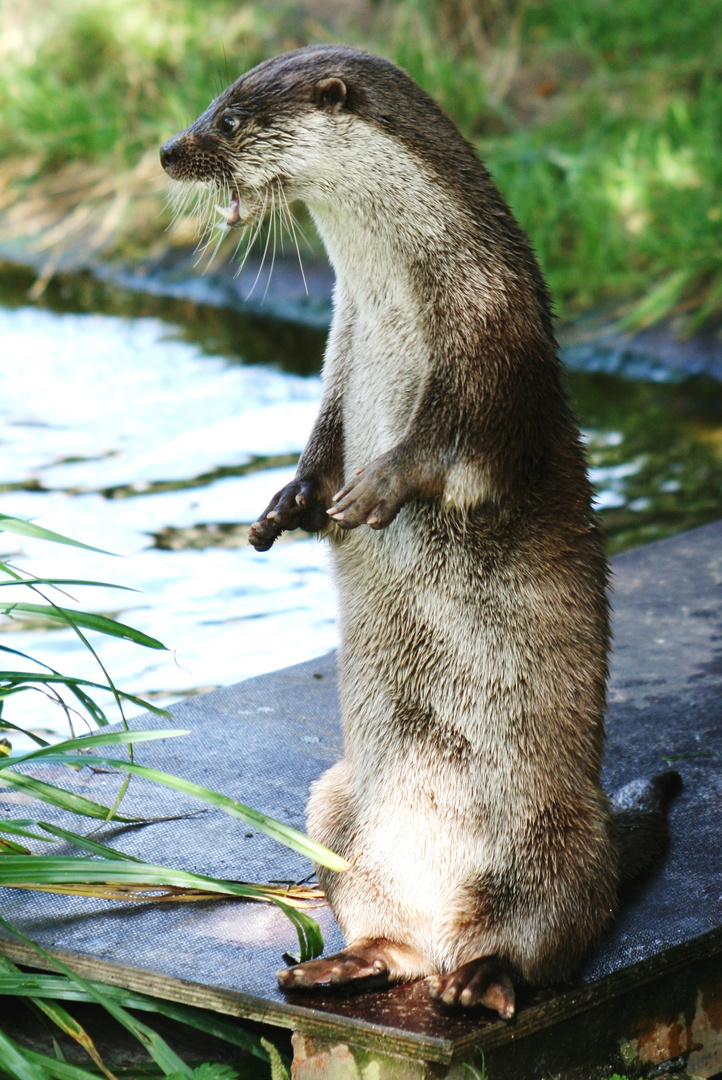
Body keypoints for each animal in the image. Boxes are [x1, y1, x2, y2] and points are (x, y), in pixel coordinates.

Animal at [160, 44, 677, 1019]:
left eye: (231, 121)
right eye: (209, 102)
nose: (170, 151)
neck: (397, 305)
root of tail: (445, 932)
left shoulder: (493, 339)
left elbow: (454, 445)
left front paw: (379, 488)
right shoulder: (339, 349)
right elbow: (322, 438)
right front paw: (287, 506)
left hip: (560, 844)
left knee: (550, 944)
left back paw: (485, 980)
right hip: (336, 808)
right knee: (383, 932)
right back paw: (344, 964)